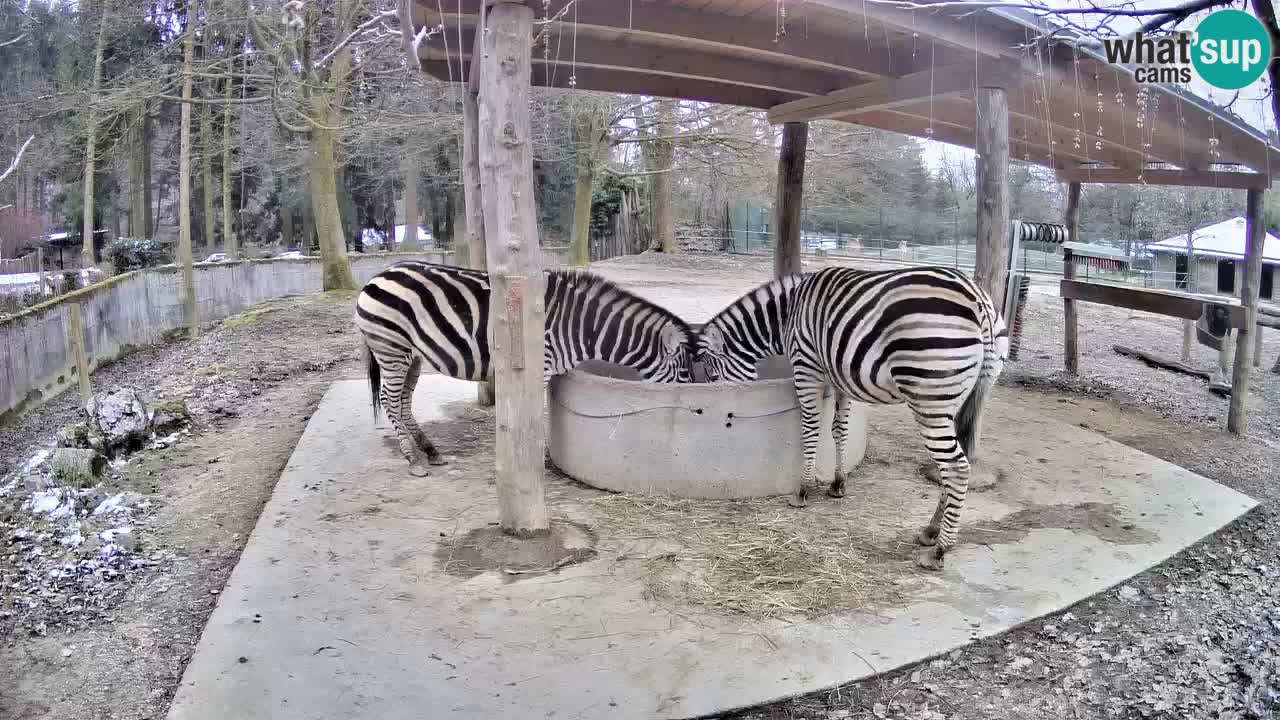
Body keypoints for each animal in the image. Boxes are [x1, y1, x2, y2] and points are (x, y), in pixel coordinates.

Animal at [355, 260, 696, 474]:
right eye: (683, 375)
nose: (683, 412)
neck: (583, 327)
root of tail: (376, 275)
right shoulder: (539, 365)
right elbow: (534, 415)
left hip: (410, 354)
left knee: (403, 402)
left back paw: (430, 451)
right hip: (391, 348)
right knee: (389, 400)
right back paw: (412, 459)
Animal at [696, 263, 1003, 566]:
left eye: (713, 376)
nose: (721, 409)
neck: (788, 312)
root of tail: (978, 298)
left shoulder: (806, 366)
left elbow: (811, 427)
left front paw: (803, 489)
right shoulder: (838, 376)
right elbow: (838, 429)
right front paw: (838, 483)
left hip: (929, 397)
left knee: (956, 467)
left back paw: (940, 549)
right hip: (967, 394)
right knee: (954, 464)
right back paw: (931, 530)